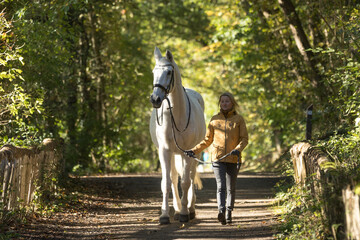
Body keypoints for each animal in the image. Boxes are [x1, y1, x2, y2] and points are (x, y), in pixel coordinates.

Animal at [149, 47, 205, 225]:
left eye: (168, 72)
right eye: (153, 72)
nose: (155, 99)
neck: (176, 116)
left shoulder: (187, 153)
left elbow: (186, 182)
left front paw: (185, 213)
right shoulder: (164, 151)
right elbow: (166, 183)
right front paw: (165, 215)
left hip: (193, 154)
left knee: (191, 176)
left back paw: (189, 209)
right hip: (174, 154)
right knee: (174, 178)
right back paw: (178, 208)